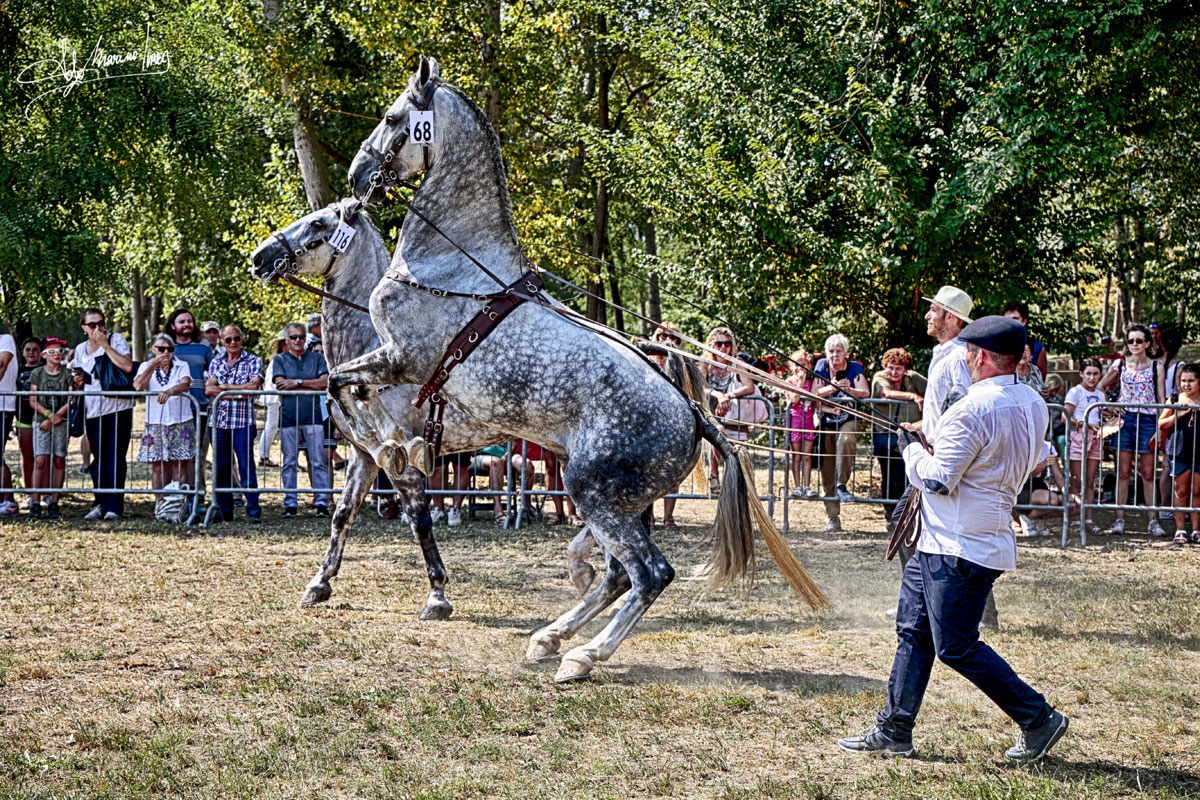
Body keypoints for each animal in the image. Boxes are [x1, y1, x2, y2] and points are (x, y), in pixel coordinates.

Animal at [332, 56, 828, 682]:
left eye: (394, 118)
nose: (356, 179)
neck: (452, 266)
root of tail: (697, 417)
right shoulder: (405, 370)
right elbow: (350, 392)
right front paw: (404, 450)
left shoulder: (404, 359)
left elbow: (344, 386)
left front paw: (403, 450)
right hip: (619, 502)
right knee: (618, 574)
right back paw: (550, 638)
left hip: (592, 491)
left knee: (649, 574)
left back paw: (581, 655)